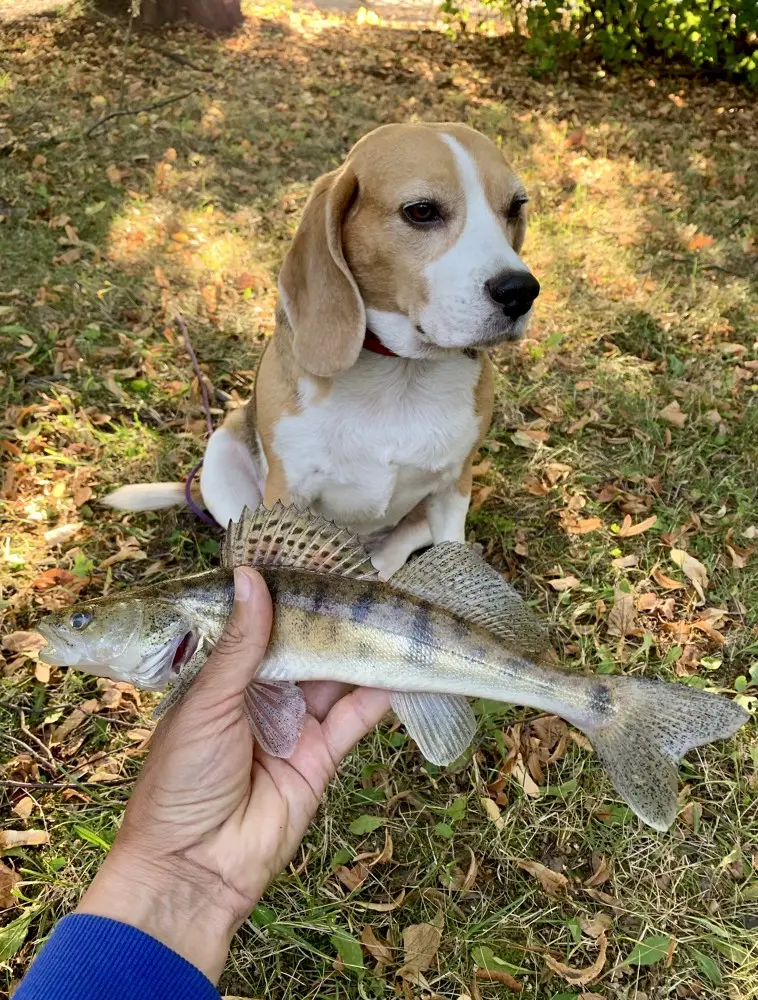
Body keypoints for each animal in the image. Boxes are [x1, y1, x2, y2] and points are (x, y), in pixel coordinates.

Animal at [107, 123, 540, 580]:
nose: (521, 291)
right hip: (220, 459)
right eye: (421, 211)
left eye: (515, 206)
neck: (399, 374)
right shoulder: (287, 491)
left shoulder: (453, 488)